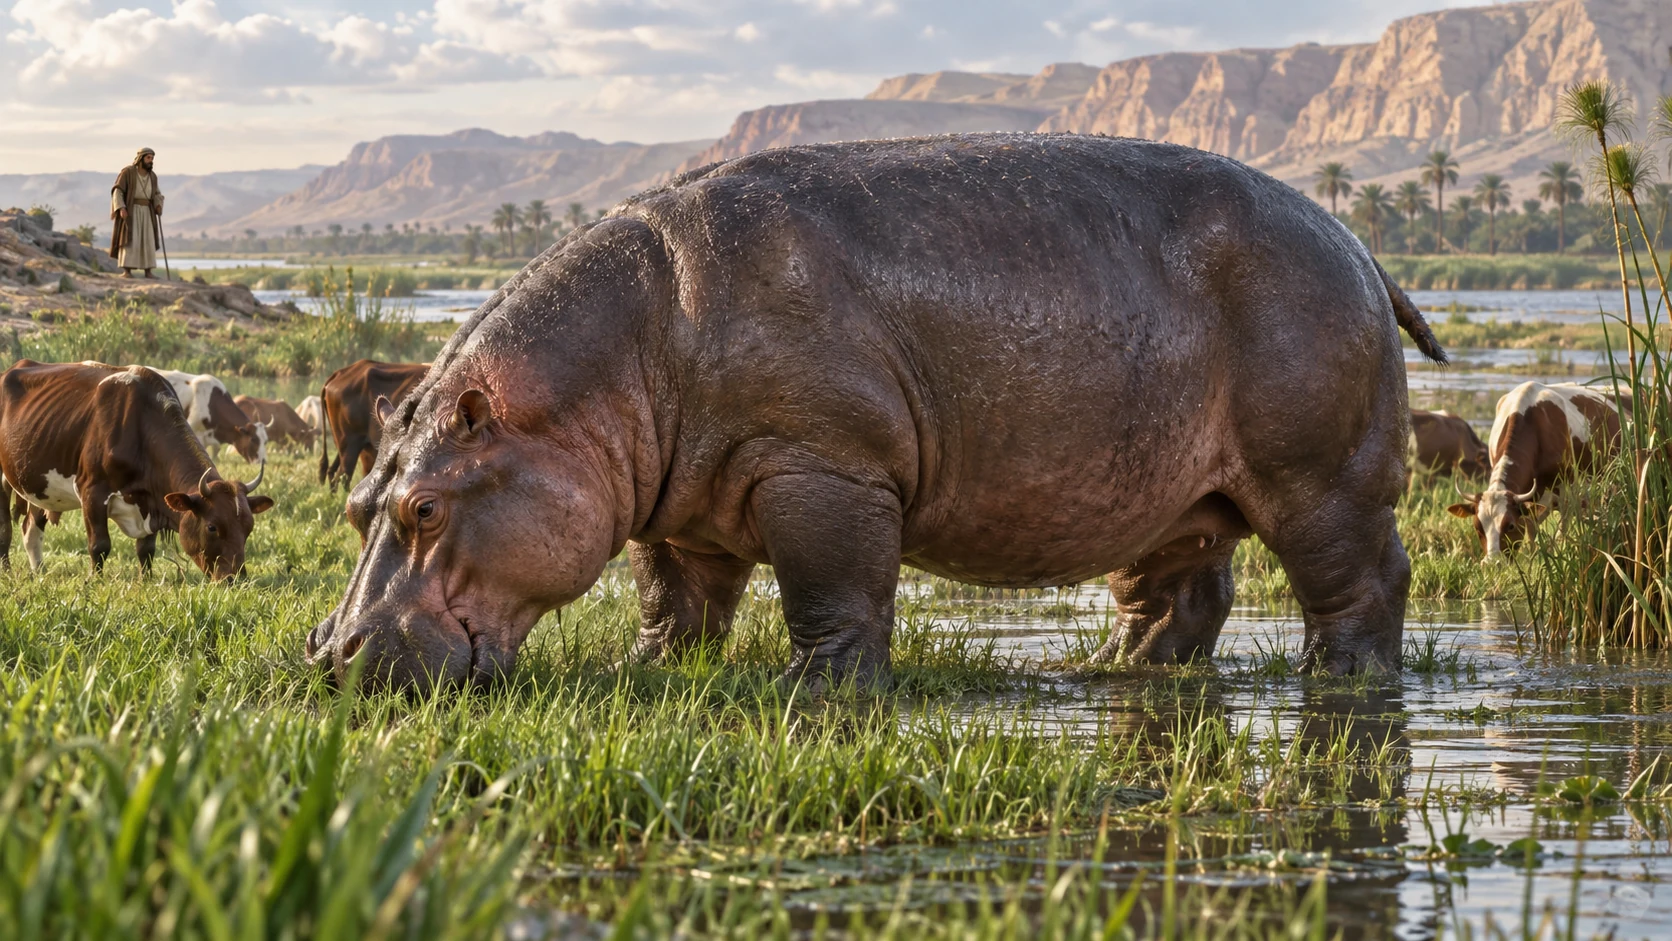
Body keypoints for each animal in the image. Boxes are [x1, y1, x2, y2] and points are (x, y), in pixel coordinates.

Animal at [0, 360, 275, 578]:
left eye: (249, 527)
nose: (235, 579)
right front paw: (95, 582)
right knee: (6, 528)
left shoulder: (152, 500)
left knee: (31, 528)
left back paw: (39, 571)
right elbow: (99, 546)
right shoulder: (92, 492)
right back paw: (7, 570)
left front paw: (146, 580)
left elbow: (146, 550)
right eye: (212, 527)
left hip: (38, 483)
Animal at [1448, 381, 1627, 557]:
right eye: (1478, 527)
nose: (1493, 561)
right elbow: (1531, 533)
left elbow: (1561, 533)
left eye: (1510, 526)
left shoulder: (1566, 493)